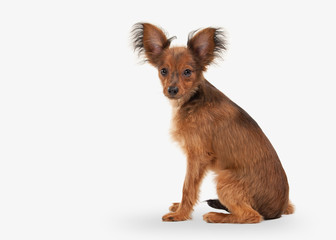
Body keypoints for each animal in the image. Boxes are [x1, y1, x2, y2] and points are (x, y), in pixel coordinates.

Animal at [131, 22, 294, 223]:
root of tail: (277, 210)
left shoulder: (197, 156)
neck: (193, 99)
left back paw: (216, 215)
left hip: (224, 180)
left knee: (251, 216)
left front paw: (180, 214)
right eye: (163, 71)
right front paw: (180, 208)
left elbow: (188, 187)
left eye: (187, 72)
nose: (172, 89)